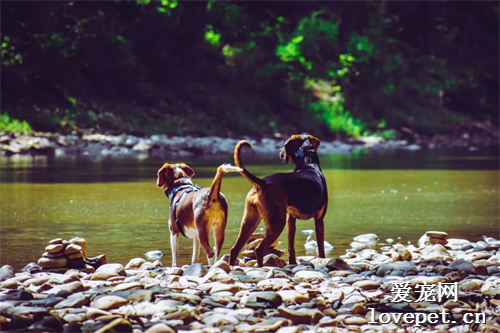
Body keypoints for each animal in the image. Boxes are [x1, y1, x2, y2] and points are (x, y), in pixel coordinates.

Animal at [229, 134, 328, 266]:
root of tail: (262, 182)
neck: (308, 163)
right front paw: (322, 260)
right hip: (276, 223)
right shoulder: (319, 220)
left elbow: (291, 247)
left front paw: (292, 263)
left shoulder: (291, 220)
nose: (280, 152)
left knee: (235, 249)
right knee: (259, 249)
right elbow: (321, 248)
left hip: (249, 221)